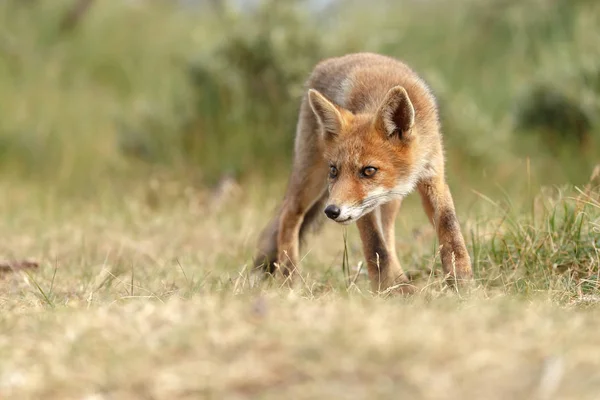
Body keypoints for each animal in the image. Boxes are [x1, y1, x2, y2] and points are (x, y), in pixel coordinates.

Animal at [253, 51, 474, 292]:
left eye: (368, 170)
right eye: (334, 170)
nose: (331, 211)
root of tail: (332, 60)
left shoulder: (433, 175)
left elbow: (449, 225)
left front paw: (461, 278)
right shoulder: (361, 208)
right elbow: (375, 246)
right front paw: (386, 289)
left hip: (389, 201)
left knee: (389, 235)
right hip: (310, 179)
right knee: (289, 214)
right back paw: (288, 276)